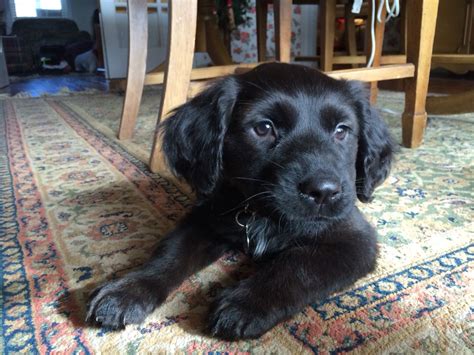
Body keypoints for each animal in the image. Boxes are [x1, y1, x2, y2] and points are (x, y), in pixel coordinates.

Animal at [86, 62, 396, 340]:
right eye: (264, 128)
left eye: (342, 130)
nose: (324, 192)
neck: (261, 213)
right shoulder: (205, 218)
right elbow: (170, 252)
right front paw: (127, 290)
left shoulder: (353, 238)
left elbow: (298, 264)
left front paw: (245, 304)